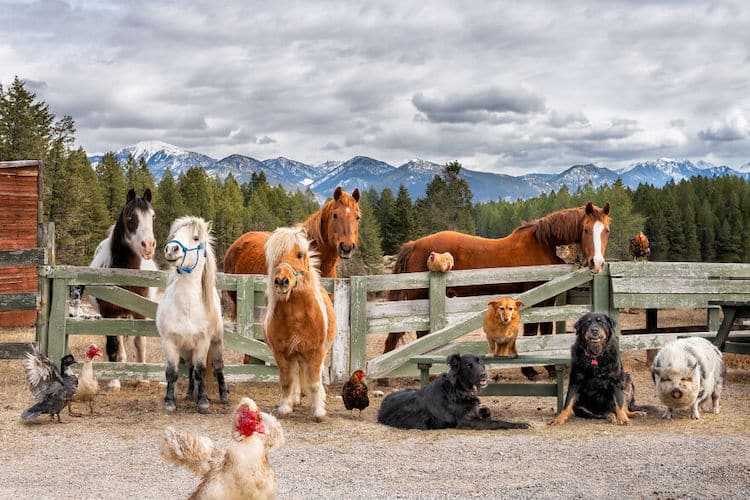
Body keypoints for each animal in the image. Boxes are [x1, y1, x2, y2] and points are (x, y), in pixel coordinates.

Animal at [157, 216, 228, 414]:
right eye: (175, 234)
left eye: (196, 238)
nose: (171, 249)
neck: (187, 308)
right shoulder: (170, 343)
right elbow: (172, 373)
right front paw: (169, 401)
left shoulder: (203, 343)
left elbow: (201, 371)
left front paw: (203, 402)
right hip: (185, 350)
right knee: (189, 369)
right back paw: (189, 394)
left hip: (216, 344)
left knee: (217, 367)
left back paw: (223, 396)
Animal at [262, 227, 336, 422]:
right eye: (274, 257)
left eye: (299, 254)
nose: (281, 281)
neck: (296, 317)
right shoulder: (281, 353)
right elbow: (287, 381)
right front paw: (285, 408)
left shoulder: (316, 352)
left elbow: (315, 383)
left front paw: (319, 412)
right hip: (295, 355)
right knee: (295, 376)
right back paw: (295, 399)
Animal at [378, 354, 532, 432]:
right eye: (468, 366)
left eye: (480, 362)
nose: (484, 375)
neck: (458, 389)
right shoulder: (465, 422)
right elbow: (496, 422)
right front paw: (519, 424)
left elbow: (486, 410)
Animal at [384, 202, 612, 372]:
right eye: (586, 229)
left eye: (606, 230)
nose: (597, 263)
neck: (543, 244)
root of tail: (414, 244)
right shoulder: (536, 298)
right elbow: (532, 331)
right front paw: (530, 369)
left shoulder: (548, 299)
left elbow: (546, 328)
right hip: (420, 299)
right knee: (420, 334)